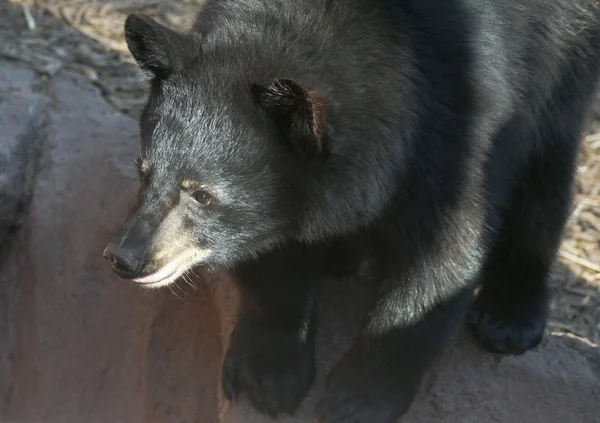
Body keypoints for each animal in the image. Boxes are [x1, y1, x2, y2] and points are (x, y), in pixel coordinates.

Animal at [103, 0, 600, 422]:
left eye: (202, 195)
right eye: (144, 172)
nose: (127, 258)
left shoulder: (461, 108)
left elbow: (447, 248)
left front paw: (359, 396)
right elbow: (271, 259)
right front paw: (271, 372)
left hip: (568, 50)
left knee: (548, 167)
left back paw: (509, 314)